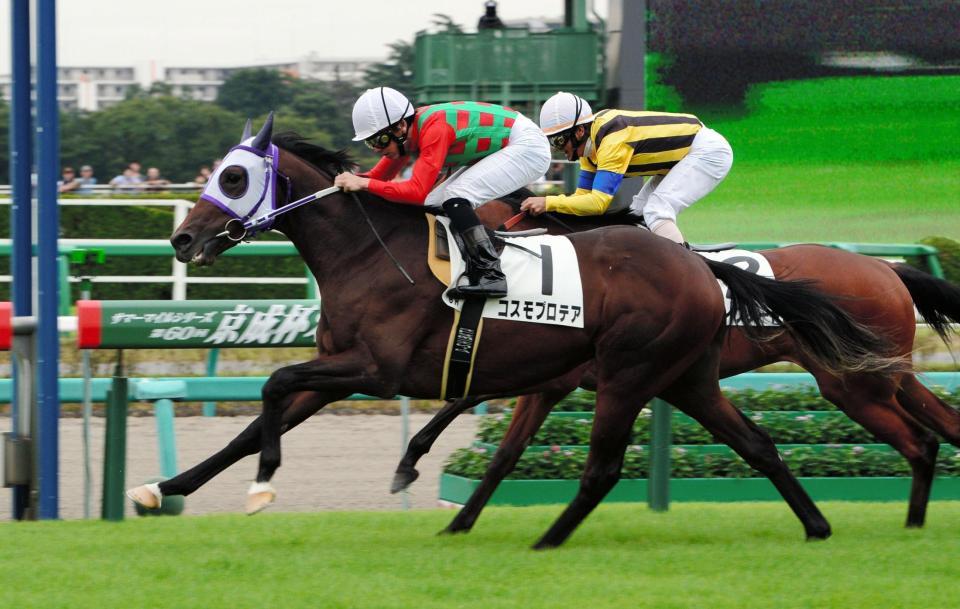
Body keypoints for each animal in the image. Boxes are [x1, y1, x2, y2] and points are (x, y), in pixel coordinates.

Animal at [392, 198, 960, 534]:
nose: (463, 277)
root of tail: (884, 268)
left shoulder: (558, 375)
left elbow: (470, 399)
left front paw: (411, 461)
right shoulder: (549, 376)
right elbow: (498, 443)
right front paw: (427, 481)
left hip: (852, 384)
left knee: (919, 440)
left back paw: (911, 524)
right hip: (886, 373)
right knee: (942, 429)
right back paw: (914, 524)